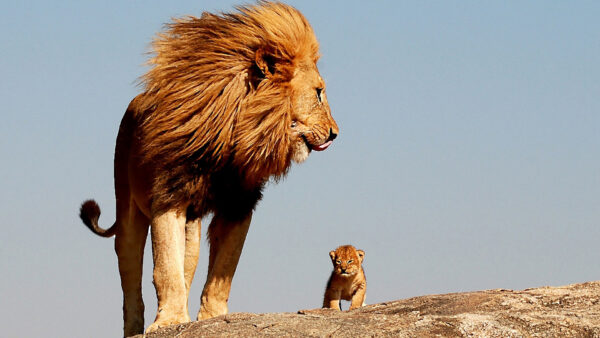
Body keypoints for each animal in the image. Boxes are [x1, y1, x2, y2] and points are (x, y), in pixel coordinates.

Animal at [79, 1, 338, 336]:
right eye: (318, 92)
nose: (335, 133)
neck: (234, 136)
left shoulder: (239, 204)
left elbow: (222, 271)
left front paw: (211, 318)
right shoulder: (169, 196)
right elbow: (165, 268)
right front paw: (169, 321)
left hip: (192, 227)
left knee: (187, 265)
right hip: (127, 208)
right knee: (130, 272)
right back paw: (136, 327)